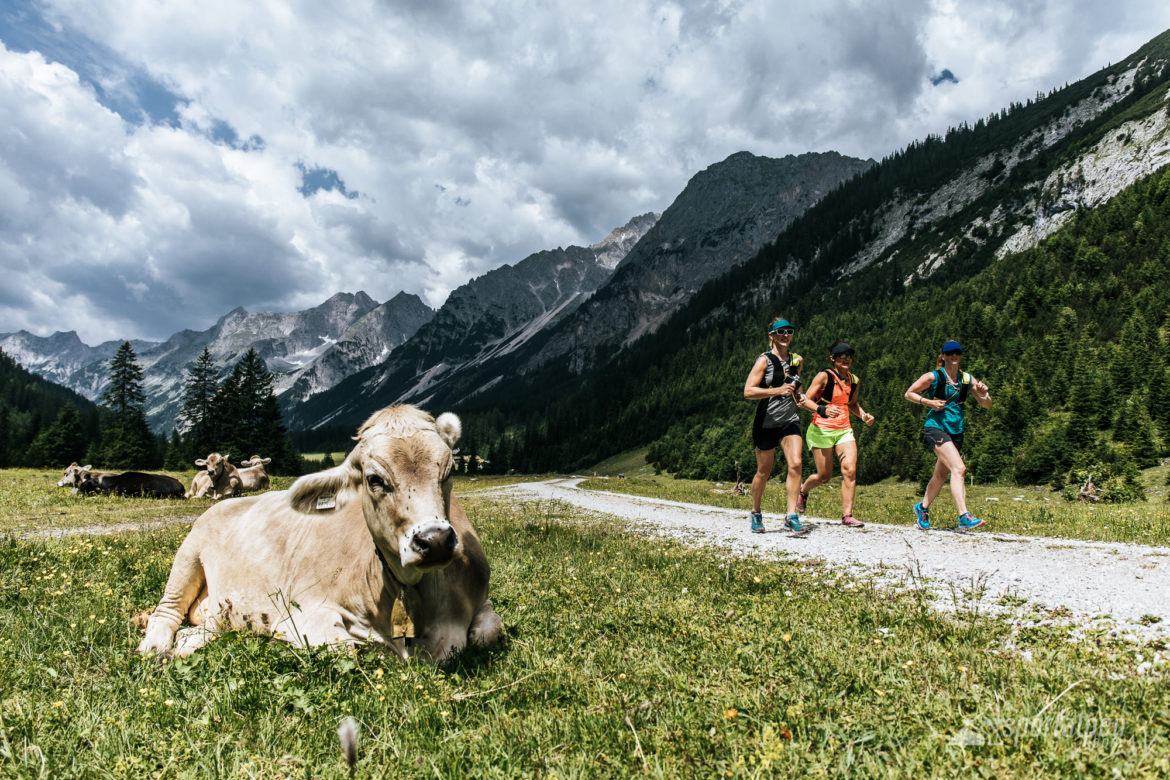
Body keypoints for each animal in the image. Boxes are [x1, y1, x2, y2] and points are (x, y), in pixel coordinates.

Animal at [136, 402, 503, 664]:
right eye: (374, 479)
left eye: (449, 470)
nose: (435, 541)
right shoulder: (301, 613)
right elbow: (346, 647)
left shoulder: (481, 602)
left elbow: (490, 632)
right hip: (187, 555)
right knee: (165, 613)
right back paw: (157, 648)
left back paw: (195, 638)